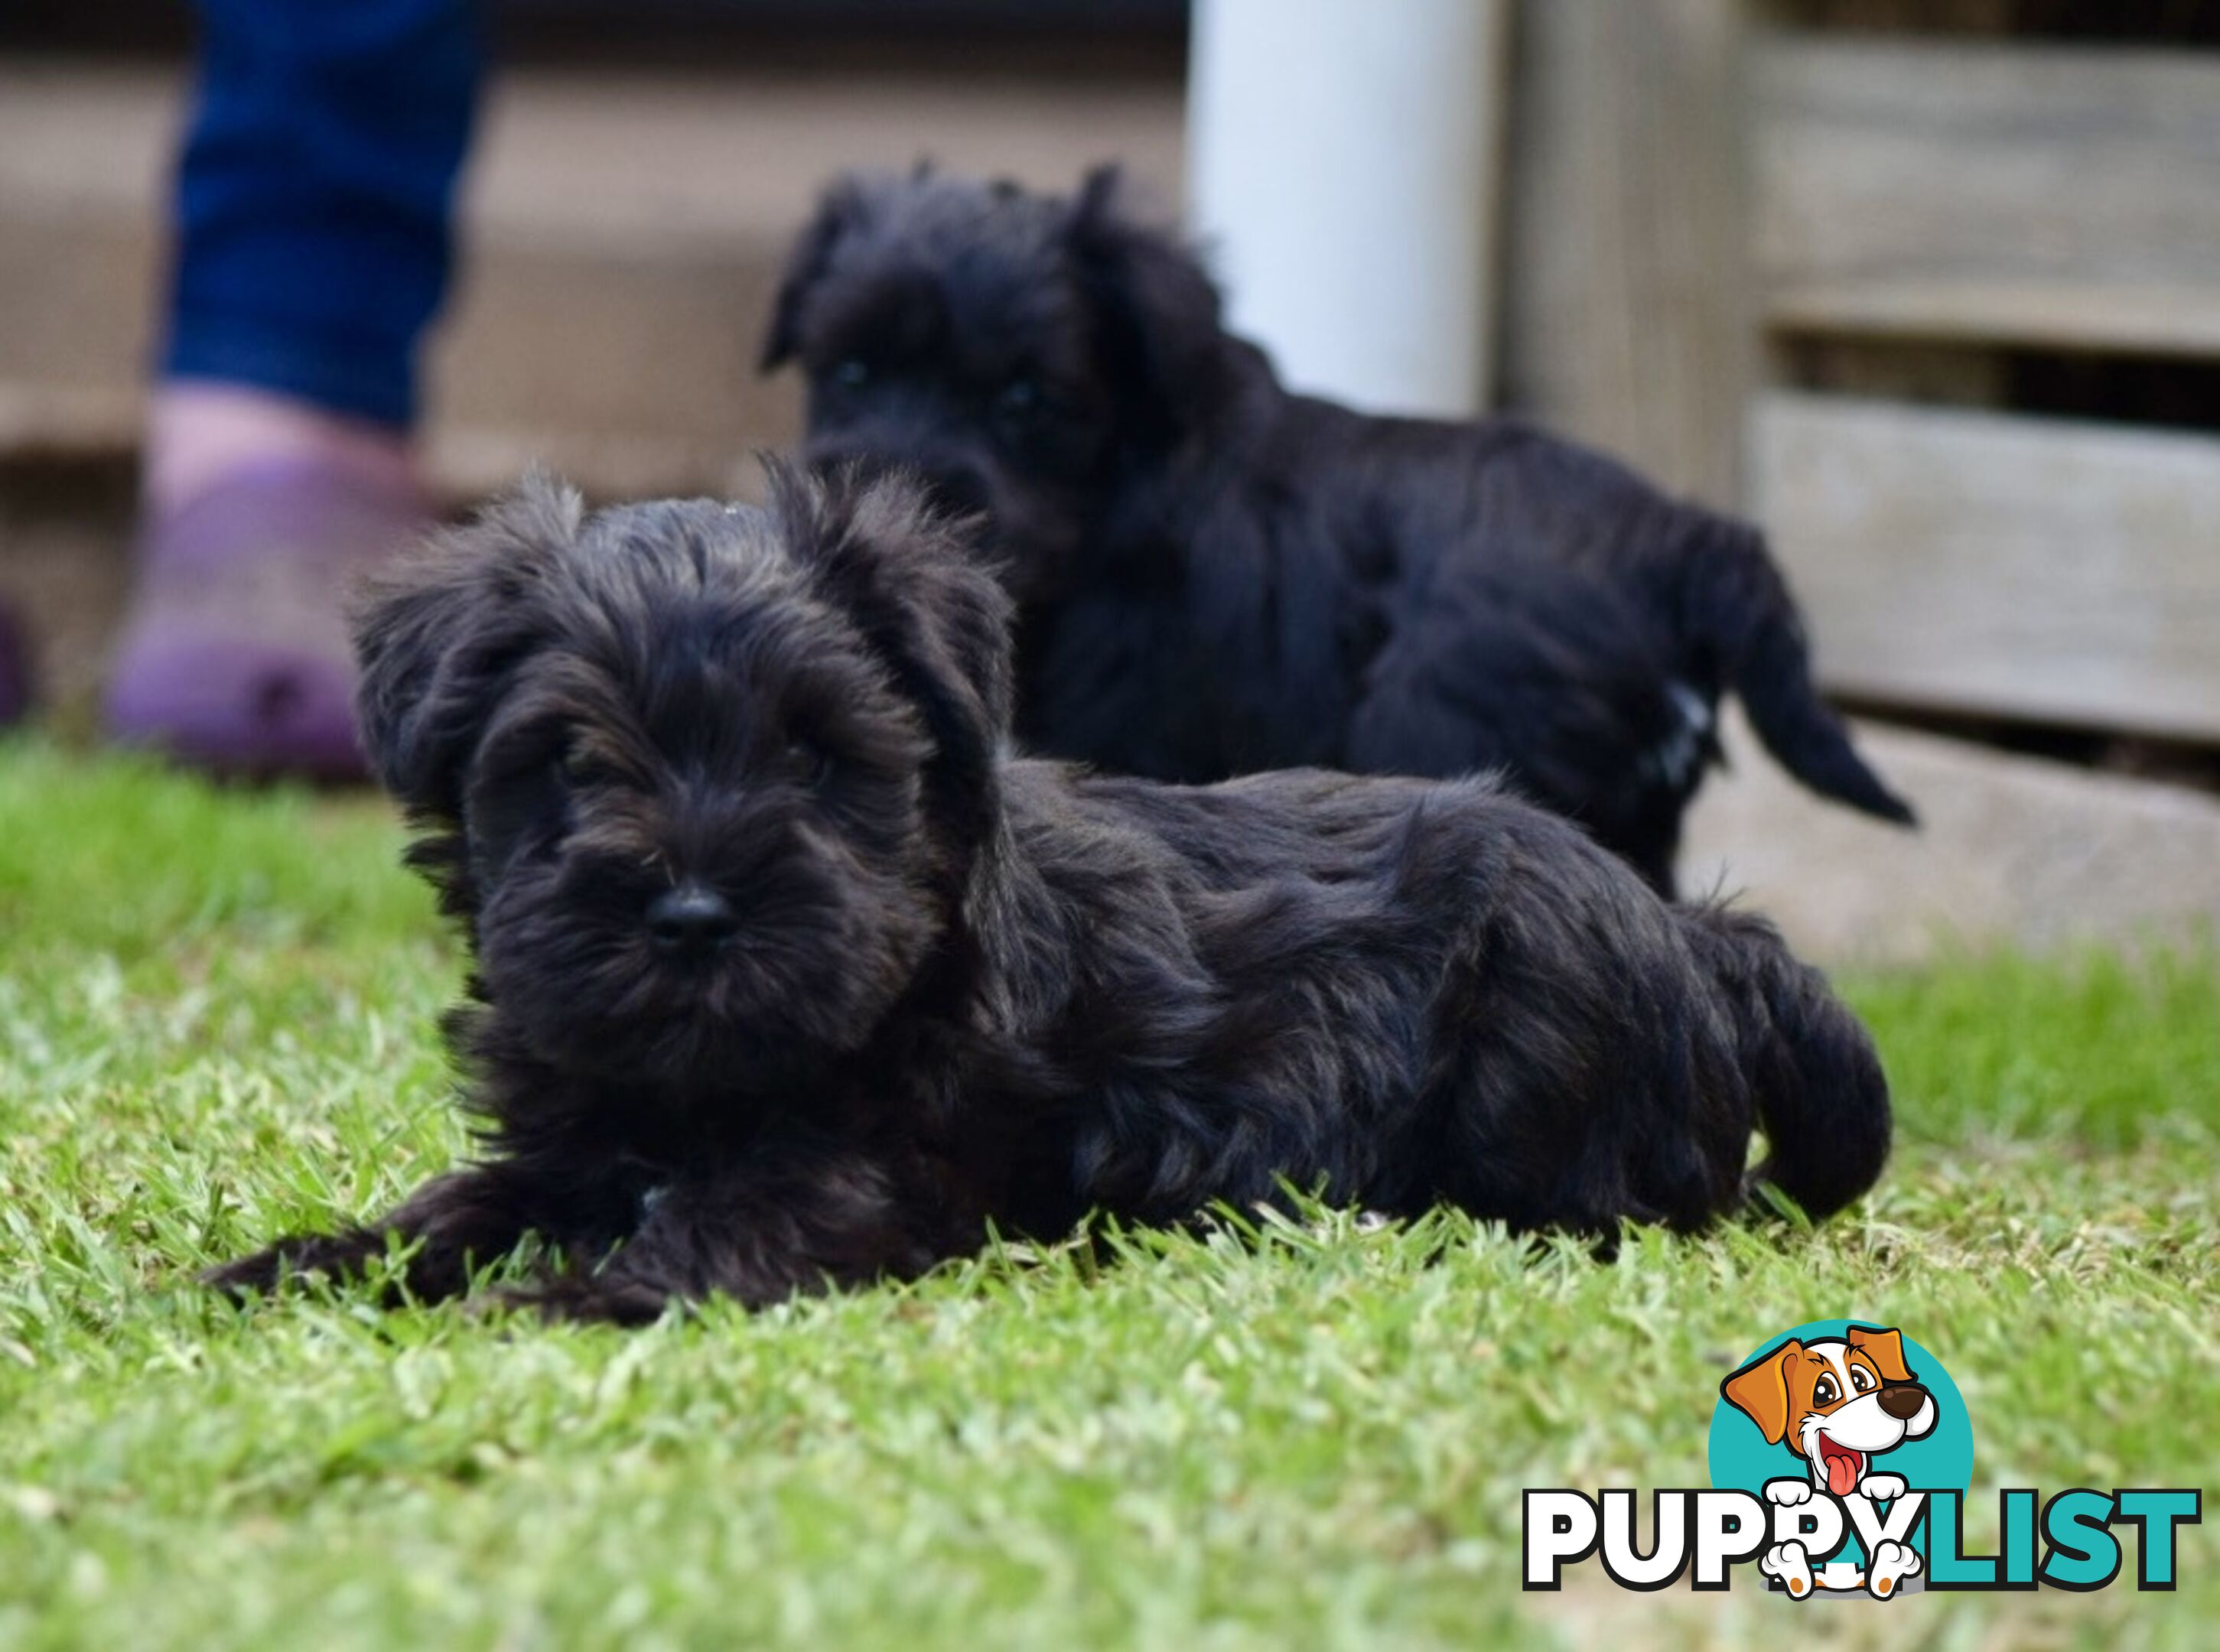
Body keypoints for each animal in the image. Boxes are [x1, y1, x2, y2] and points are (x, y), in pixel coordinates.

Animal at [212, 470, 1891, 1323]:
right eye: (568, 760)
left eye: (815, 755)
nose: (688, 914)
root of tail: (1696, 939)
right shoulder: (570, 1135)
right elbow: (459, 1204)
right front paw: (305, 1265)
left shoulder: (875, 1168)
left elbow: (711, 1234)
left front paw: (551, 1305)